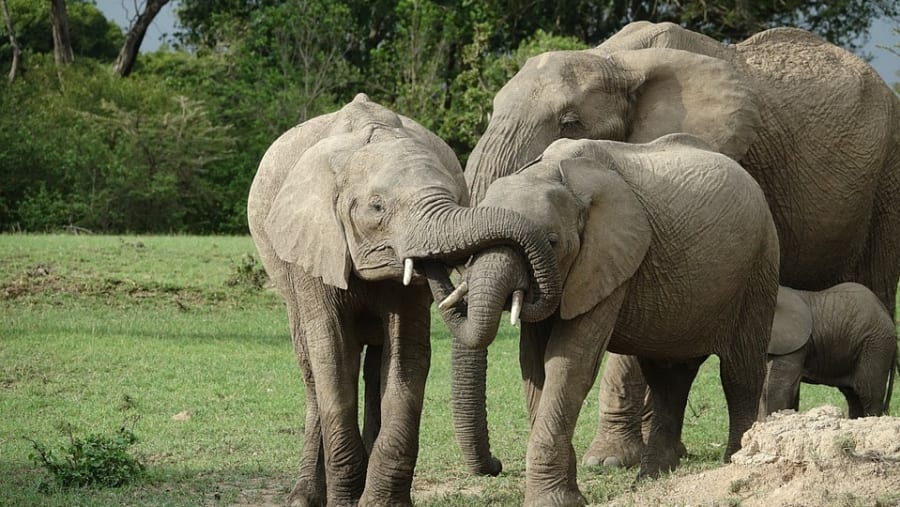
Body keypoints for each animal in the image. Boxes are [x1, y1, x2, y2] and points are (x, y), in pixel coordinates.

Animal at [247, 93, 561, 506]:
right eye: (376, 207)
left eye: (454, 196)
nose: (497, 466)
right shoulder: (312, 247)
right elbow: (331, 353)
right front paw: (346, 501)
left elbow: (407, 354)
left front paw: (381, 503)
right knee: (312, 368)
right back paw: (304, 497)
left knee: (374, 363)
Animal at [428, 134, 780, 506]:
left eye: (552, 242)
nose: (495, 465)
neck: (552, 174)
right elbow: (534, 366)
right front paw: (567, 495)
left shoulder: (607, 259)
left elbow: (569, 363)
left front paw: (556, 501)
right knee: (668, 375)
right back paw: (651, 478)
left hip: (760, 265)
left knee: (739, 372)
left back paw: (735, 460)